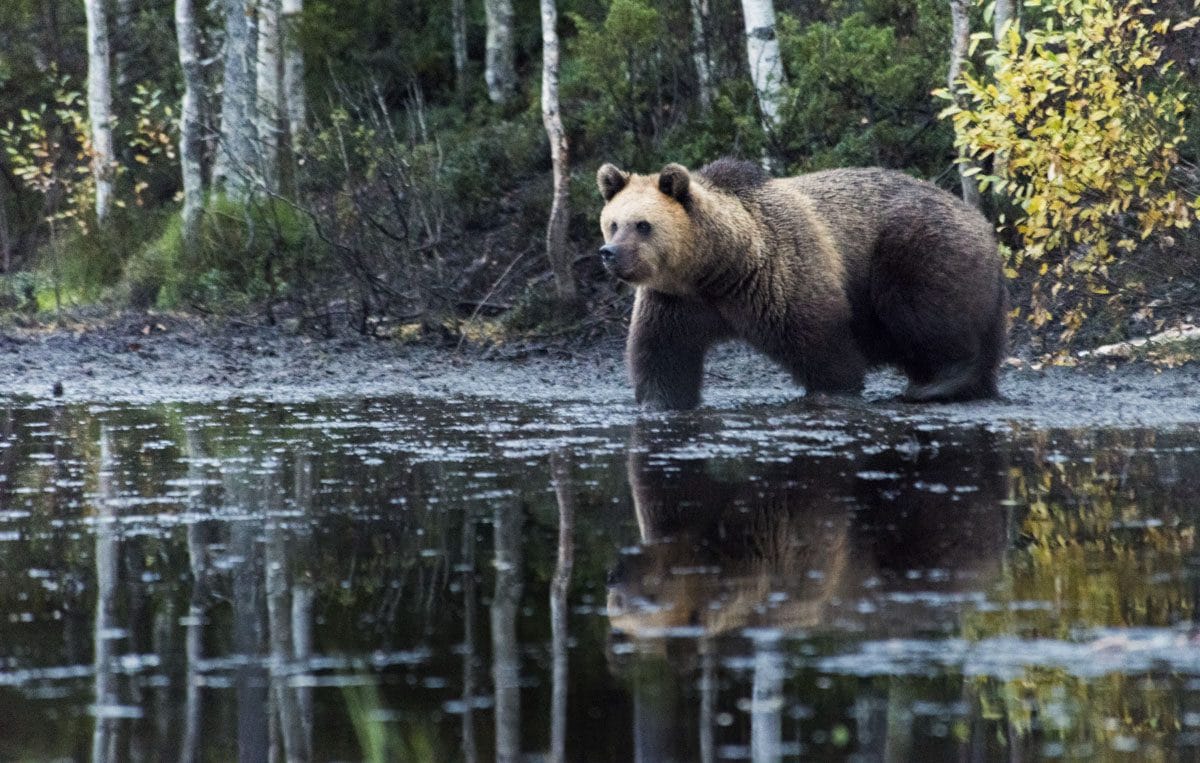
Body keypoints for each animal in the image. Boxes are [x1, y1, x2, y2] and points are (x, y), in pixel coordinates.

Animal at [597, 160, 1003, 407]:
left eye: (643, 225)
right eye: (613, 223)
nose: (609, 253)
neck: (717, 268)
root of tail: (983, 224)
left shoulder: (776, 276)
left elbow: (819, 341)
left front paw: (830, 391)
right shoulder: (676, 300)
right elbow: (662, 354)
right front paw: (659, 401)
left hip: (916, 246)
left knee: (926, 314)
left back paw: (936, 385)